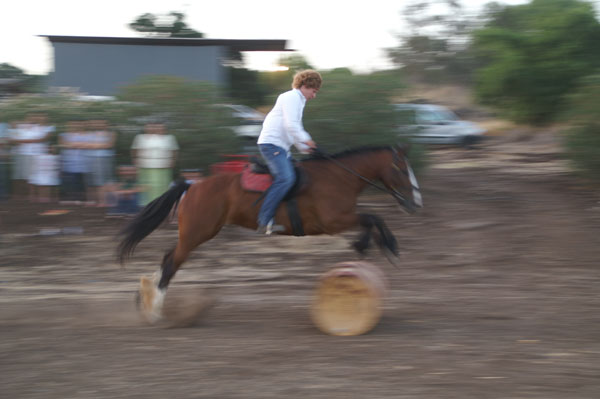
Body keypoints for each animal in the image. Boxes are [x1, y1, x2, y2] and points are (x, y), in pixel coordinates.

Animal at [117, 145, 422, 324]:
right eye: (402, 169)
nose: (416, 203)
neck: (339, 177)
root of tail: (192, 185)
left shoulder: (340, 220)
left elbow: (372, 219)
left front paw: (373, 246)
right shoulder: (333, 221)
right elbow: (372, 218)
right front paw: (383, 246)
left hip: (196, 233)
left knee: (168, 258)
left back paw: (145, 297)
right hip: (197, 233)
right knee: (171, 262)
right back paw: (155, 310)